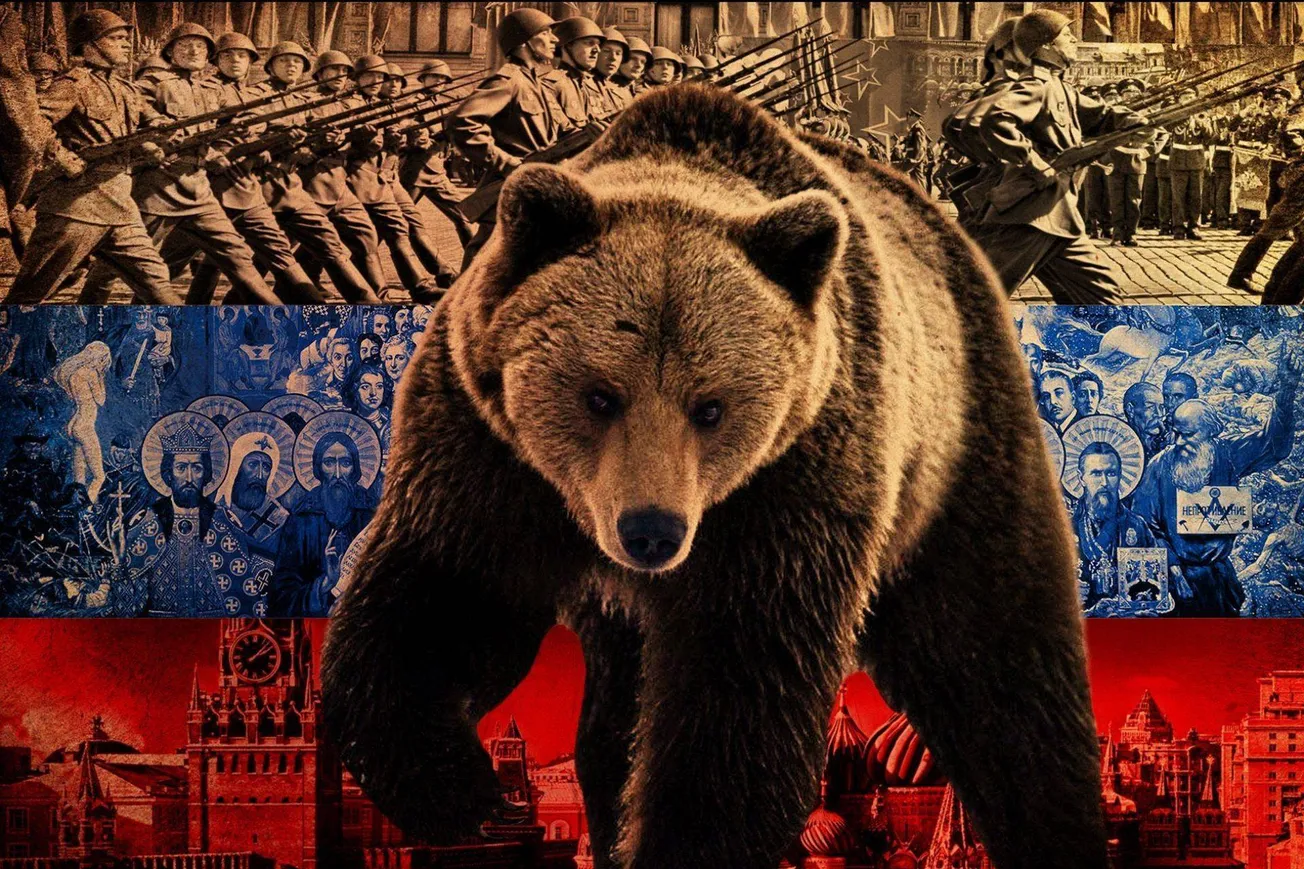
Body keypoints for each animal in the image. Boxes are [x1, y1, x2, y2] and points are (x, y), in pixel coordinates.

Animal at [321, 82, 1107, 869]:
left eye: (711, 406)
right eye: (600, 395)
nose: (651, 531)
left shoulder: (794, 478)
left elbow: (739, 687)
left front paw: (685, 836)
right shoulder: (487, 449)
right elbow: (448, 593)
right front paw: (462, 790)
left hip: (955, 453)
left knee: (1001, 668)